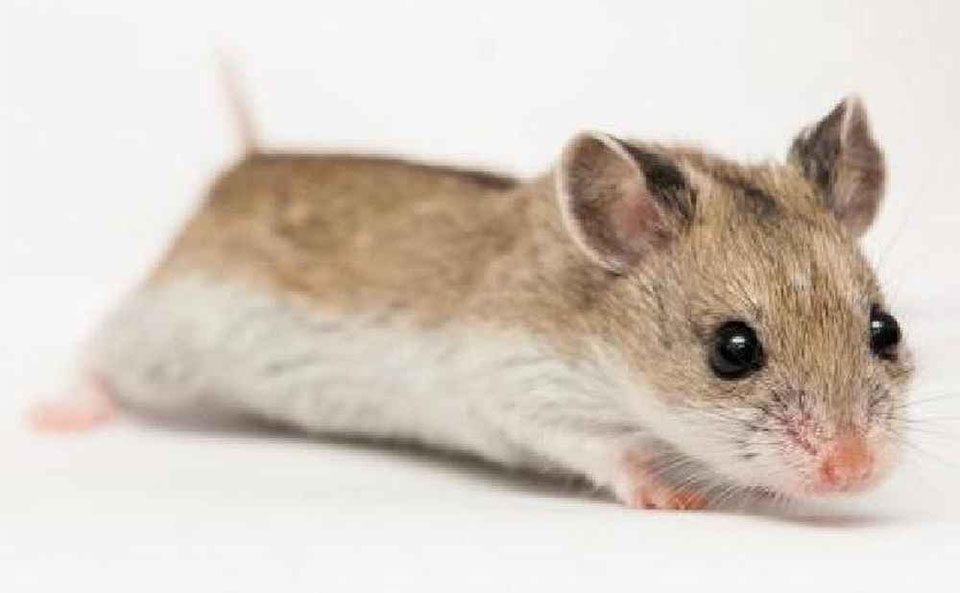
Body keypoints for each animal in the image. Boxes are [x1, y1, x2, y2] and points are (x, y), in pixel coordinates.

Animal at [33, 95, 913, 511]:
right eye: (733, 349)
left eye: (885, 329)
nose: (857, 474)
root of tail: (241, 167)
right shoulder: (519, 385)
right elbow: (607, 449)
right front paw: (677, 493)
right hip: (165, 340)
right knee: (93, 351)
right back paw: (55, 415)